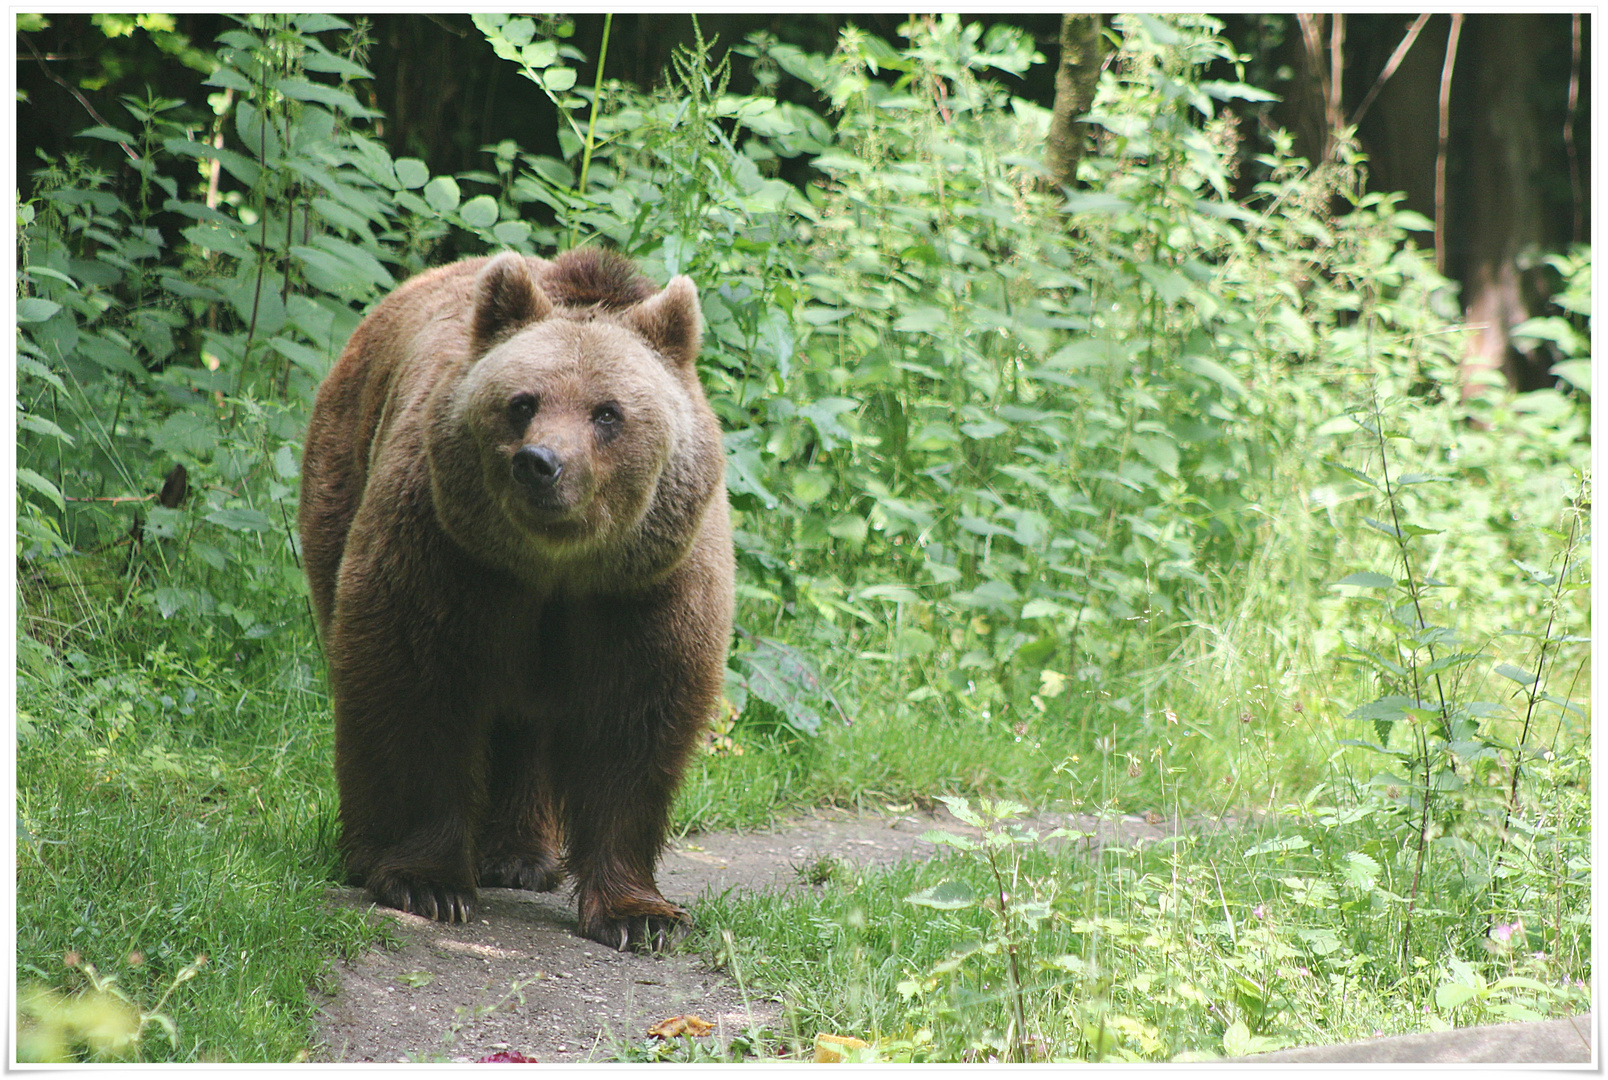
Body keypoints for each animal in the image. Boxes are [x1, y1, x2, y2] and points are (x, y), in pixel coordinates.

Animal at [297, 249, 736, 951]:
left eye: (607, 412)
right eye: (522, 402)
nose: (540, 462)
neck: (555, 568)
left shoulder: (647, 588)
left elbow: (634, 728)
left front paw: (640, 915)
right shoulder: (447, 555)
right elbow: (414, 687)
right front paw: (426, 882)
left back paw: (520, 856)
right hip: (345, 470)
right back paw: (371, 850)